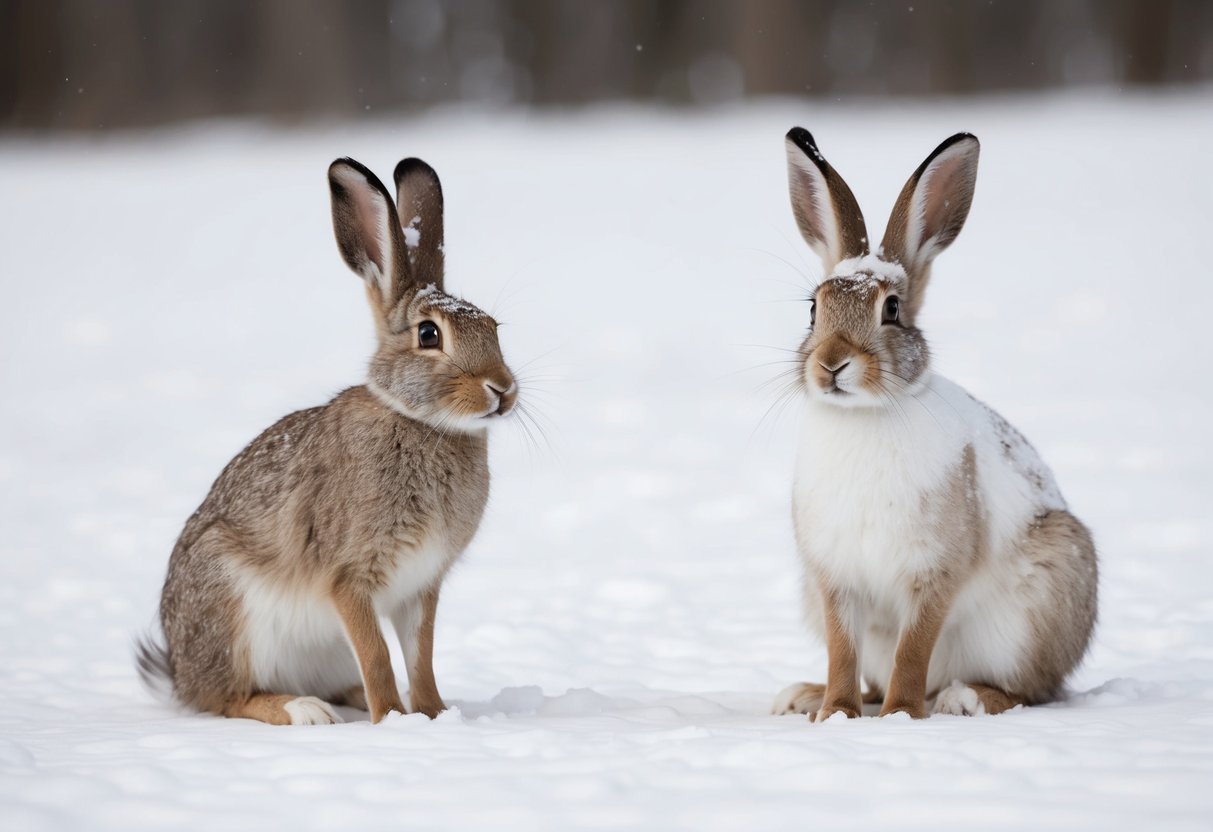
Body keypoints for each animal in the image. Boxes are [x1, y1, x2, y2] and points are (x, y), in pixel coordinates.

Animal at [136, 156, 517, 725]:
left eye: (495, 327)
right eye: (429, 335)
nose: (503, 389)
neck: (421, 423)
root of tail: (179, 673)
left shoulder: (421, 586)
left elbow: (420, 656)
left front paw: (433, 715)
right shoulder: (349, 578)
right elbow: (378, 656)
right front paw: (394, 722)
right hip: (231, 610)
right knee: (229, 698)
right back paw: (305, 711)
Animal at [770, 129, 1097, 720]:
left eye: (892, 309)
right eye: (813, 308)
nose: (831, 363)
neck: (864, 416)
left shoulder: (935, 572)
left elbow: (915, 648)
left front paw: (902, 715)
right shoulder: (833, 579)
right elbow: (842, 650)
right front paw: (835, 713)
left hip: (1037, 605)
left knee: (1030, 691)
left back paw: (963, 698)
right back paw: (803, 696)